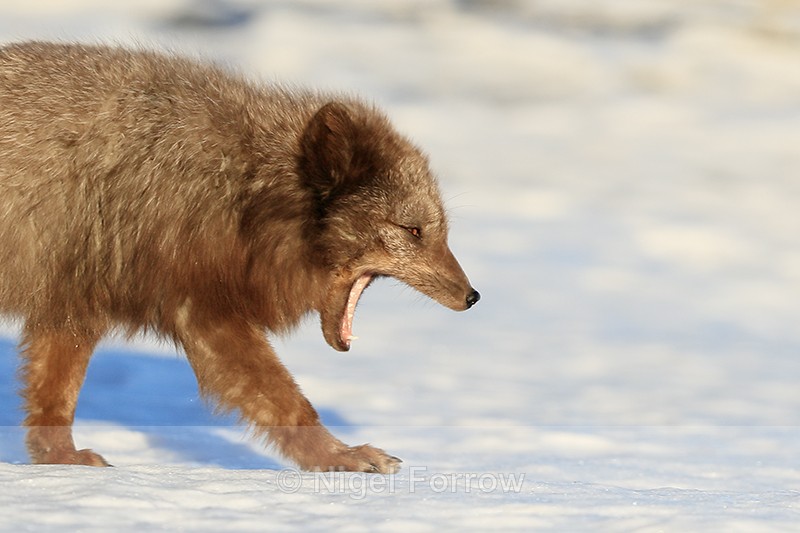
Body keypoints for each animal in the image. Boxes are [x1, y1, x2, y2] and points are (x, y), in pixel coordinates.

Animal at [0, 41, 479, 473]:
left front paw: (61, 462)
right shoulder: (203, 312)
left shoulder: (74, 305)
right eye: (414, 231)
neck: (241, 190)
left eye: (441, 232)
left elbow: (53, 404)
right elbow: (286, 402)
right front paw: (342, 458)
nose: (472, 296)